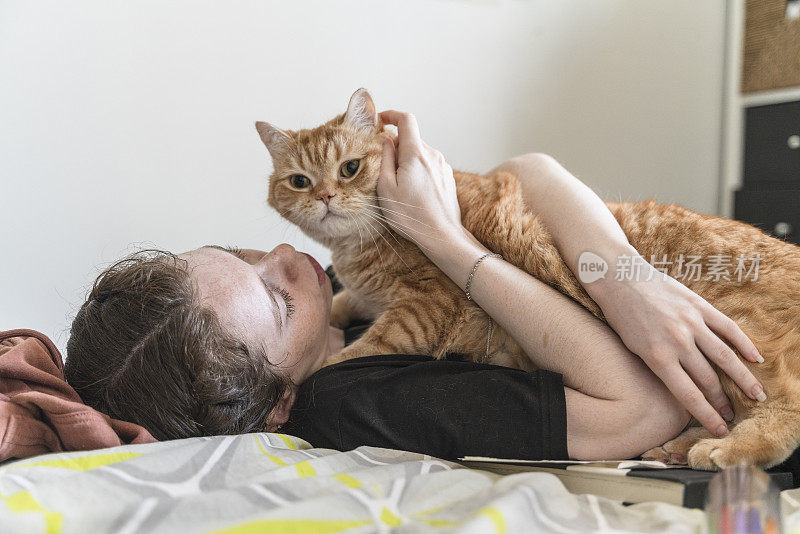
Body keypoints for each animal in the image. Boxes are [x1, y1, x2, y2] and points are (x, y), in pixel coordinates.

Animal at [256, 89, 800, 474]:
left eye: (349, 168)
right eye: (299, 181)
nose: (325, 197)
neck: (358, 249)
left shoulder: (424, 304)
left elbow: (359, 349)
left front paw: (314, 370)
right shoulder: (366, 294)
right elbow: (344, 301)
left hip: (746, 341)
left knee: (783, 409)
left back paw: (721, 450)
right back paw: (679, 446)